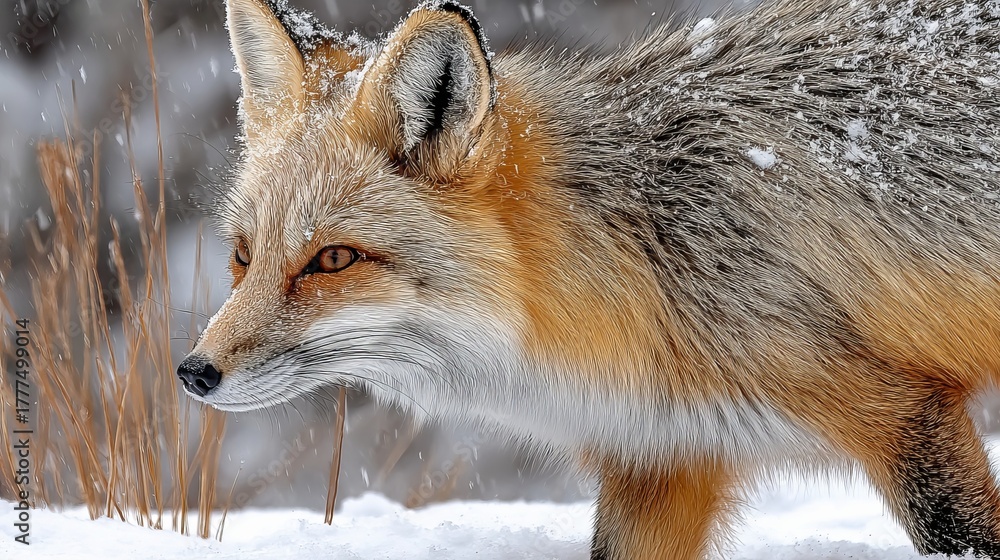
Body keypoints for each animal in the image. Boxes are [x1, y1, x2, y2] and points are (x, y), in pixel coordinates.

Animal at [176, 0, 1000, 557]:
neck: (648, 257)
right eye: (243, 255)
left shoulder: (898, 410)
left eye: (333, 260)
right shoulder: (662, 459)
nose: (194, 372)